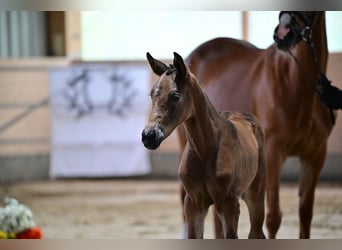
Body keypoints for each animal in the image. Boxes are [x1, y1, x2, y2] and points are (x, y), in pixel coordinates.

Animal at [141, 52, 264, 238]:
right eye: (151, 94)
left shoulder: (229, 204)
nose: (149, 136)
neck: (206, 150)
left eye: (176, 95)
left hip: (255, 195)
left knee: (256, 232)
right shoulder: (193, 203)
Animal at [179, 11, 336, 238]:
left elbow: (306, 212)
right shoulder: (273, 154)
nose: (283, 35)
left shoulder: (315, 155)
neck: (295, 83)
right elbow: (273, 218)